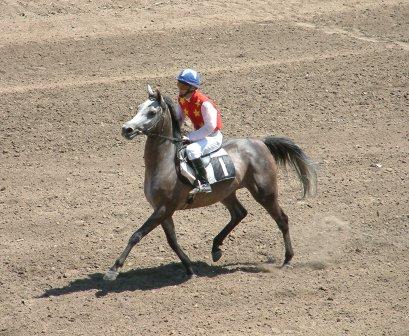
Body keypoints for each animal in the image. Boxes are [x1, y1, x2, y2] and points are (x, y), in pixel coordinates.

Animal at [103, 85, 318, 280]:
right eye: (138, 107)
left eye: (151, 112)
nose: (127, 129)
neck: (164, 163)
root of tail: (261, 143)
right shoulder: (162, 209)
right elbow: (172, 241)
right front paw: (189, 268)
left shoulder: (164, 208)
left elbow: (137, 235)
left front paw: (113, 269)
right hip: (226, 192)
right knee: (239, 213)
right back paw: (216, 247)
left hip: (265, 192)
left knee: (282, 219)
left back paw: (288, 259)